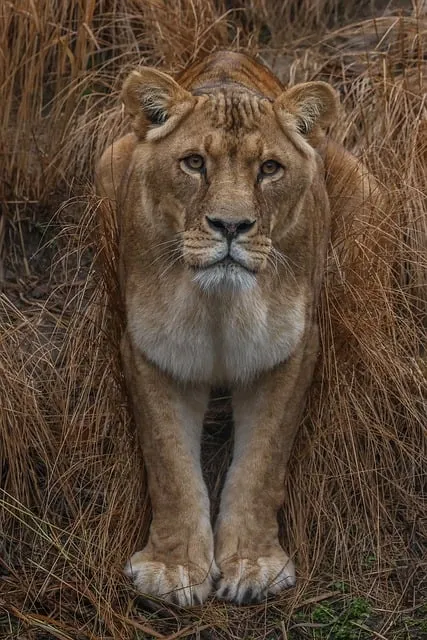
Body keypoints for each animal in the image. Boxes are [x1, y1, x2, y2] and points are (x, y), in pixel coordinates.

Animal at [95, 51, 385, 606]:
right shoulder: (151, 349)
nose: (231, 226)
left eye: (269, 168)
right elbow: (169, 465)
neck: (218, 305)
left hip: (363, 182)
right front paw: (173, 568)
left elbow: (261, 464)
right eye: (193, 163)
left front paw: (254, 565)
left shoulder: (289, 349)